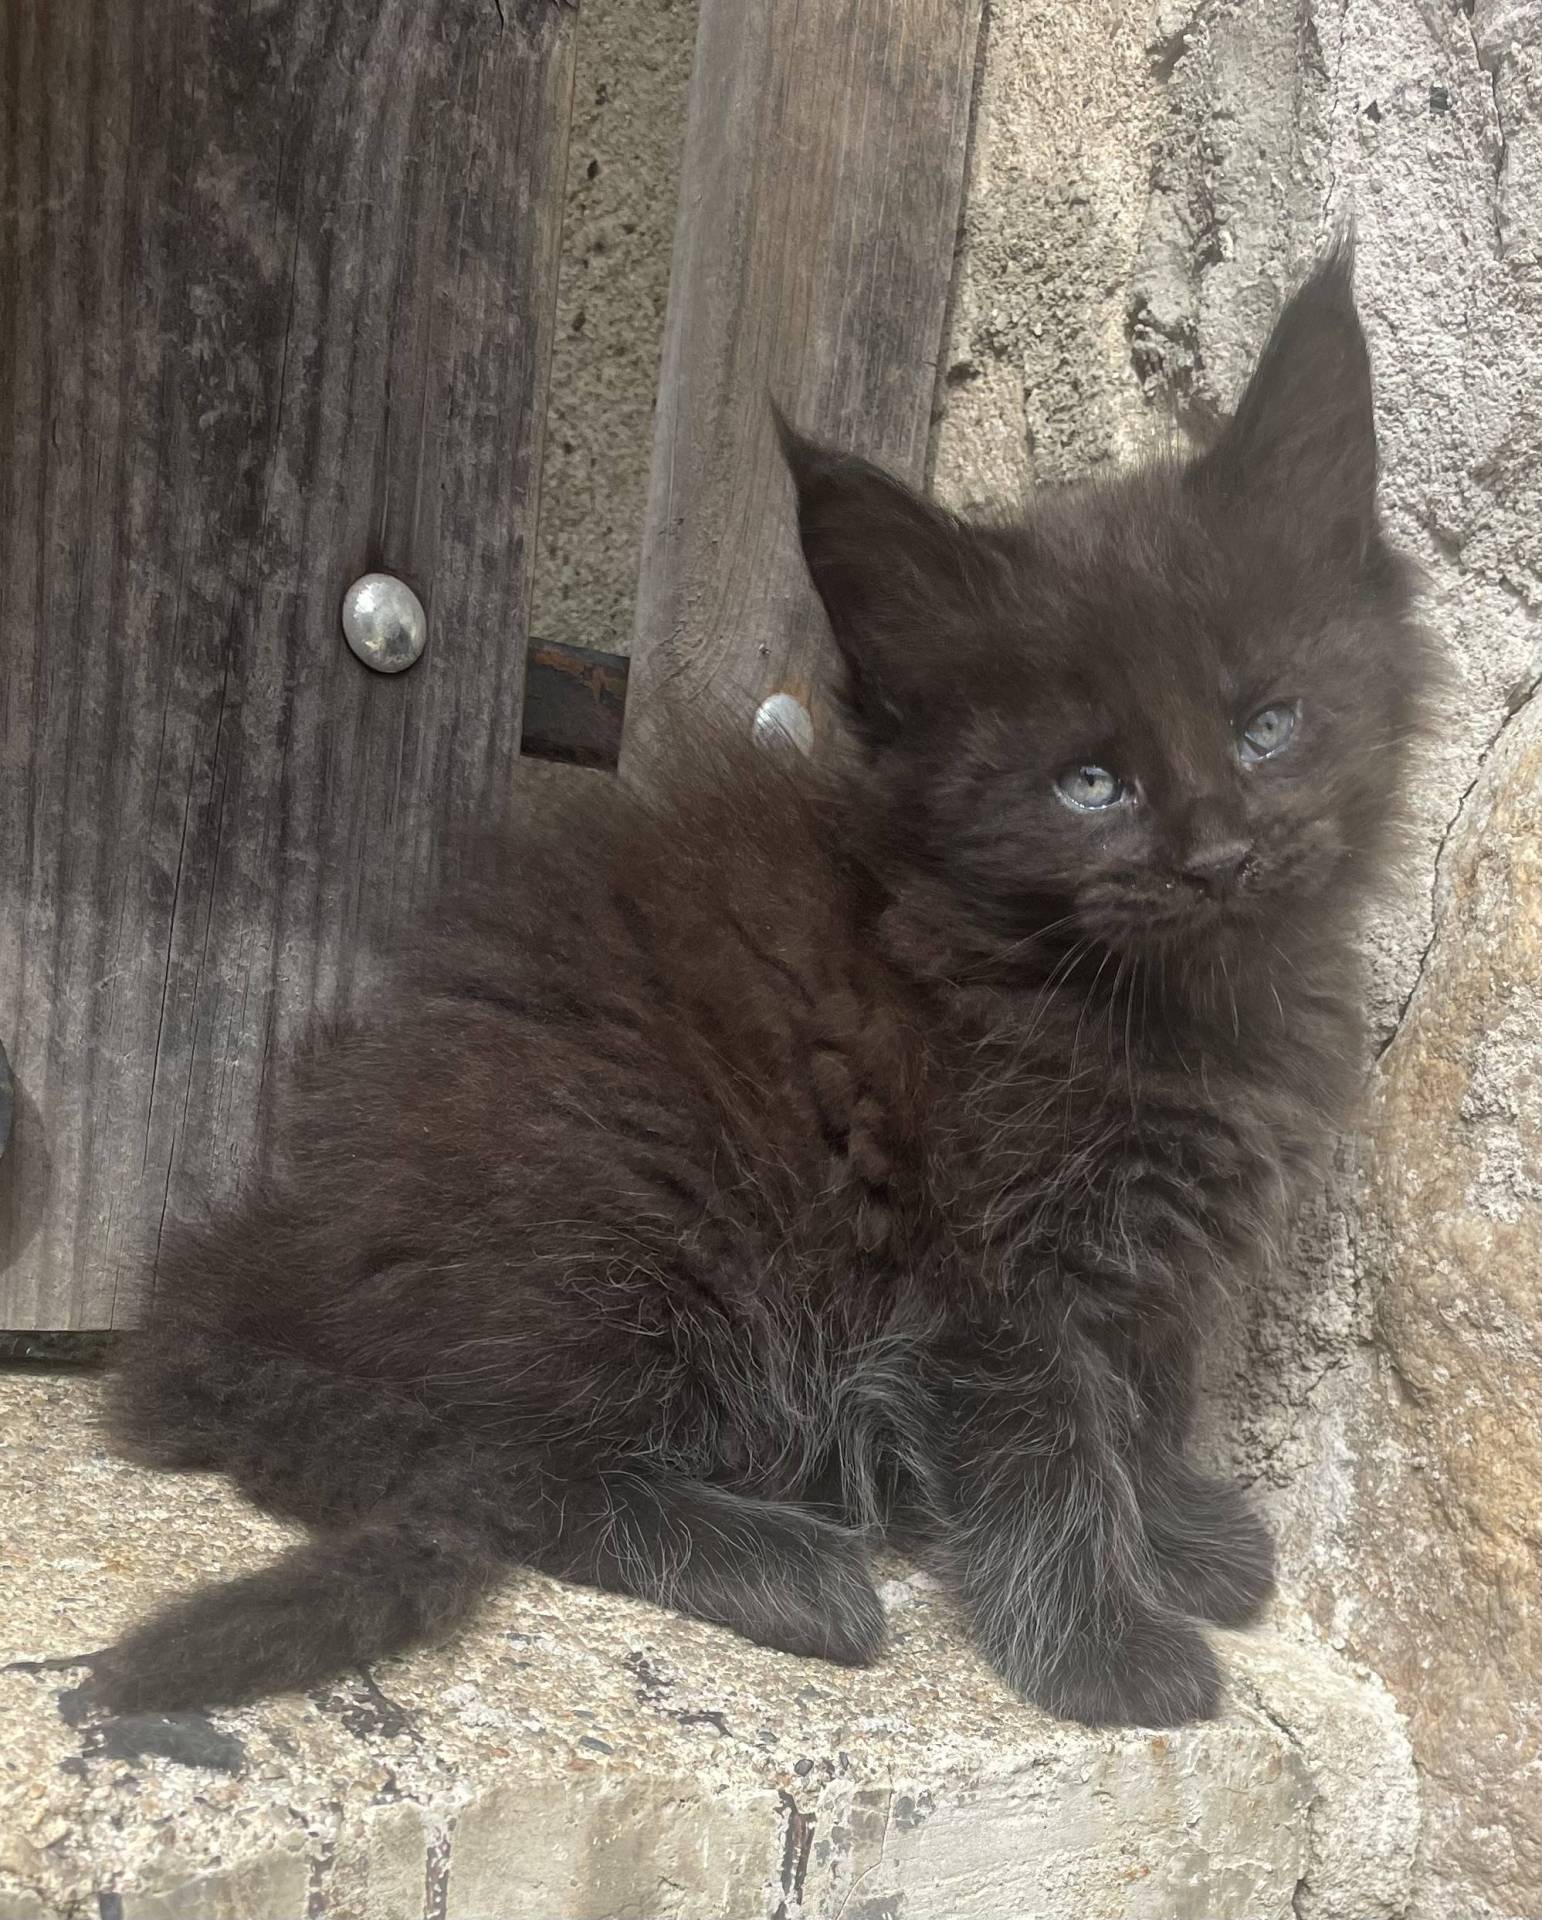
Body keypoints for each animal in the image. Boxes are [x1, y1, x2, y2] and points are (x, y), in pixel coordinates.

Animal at [87, 247, 1436, 1735]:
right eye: (1091, 784)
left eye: (1269, 726)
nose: (1215, 856)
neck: (1160, 1005)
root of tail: (263, 1270)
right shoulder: (978, 1268)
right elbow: (1045, 1450)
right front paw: (1107, 1644)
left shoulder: (1141, 1256)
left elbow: (1135, 1400)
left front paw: (1178, 1537)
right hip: (634, 1223)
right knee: (503, 1467)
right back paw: (794, 1570)